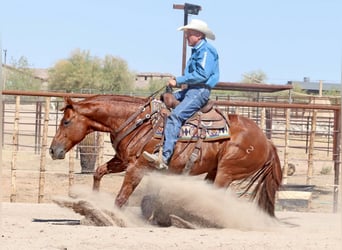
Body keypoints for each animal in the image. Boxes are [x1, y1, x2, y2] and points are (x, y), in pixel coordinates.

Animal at [48, 93, 284, 217]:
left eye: (65, 121)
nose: (52, 150)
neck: (139, 122)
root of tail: (267, 142)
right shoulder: (123, 161)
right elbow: (98, 172)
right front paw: (94, 202)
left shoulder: (137, 167)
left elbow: (122, 197)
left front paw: (112, 216)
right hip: (214, 170)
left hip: (226, 172)